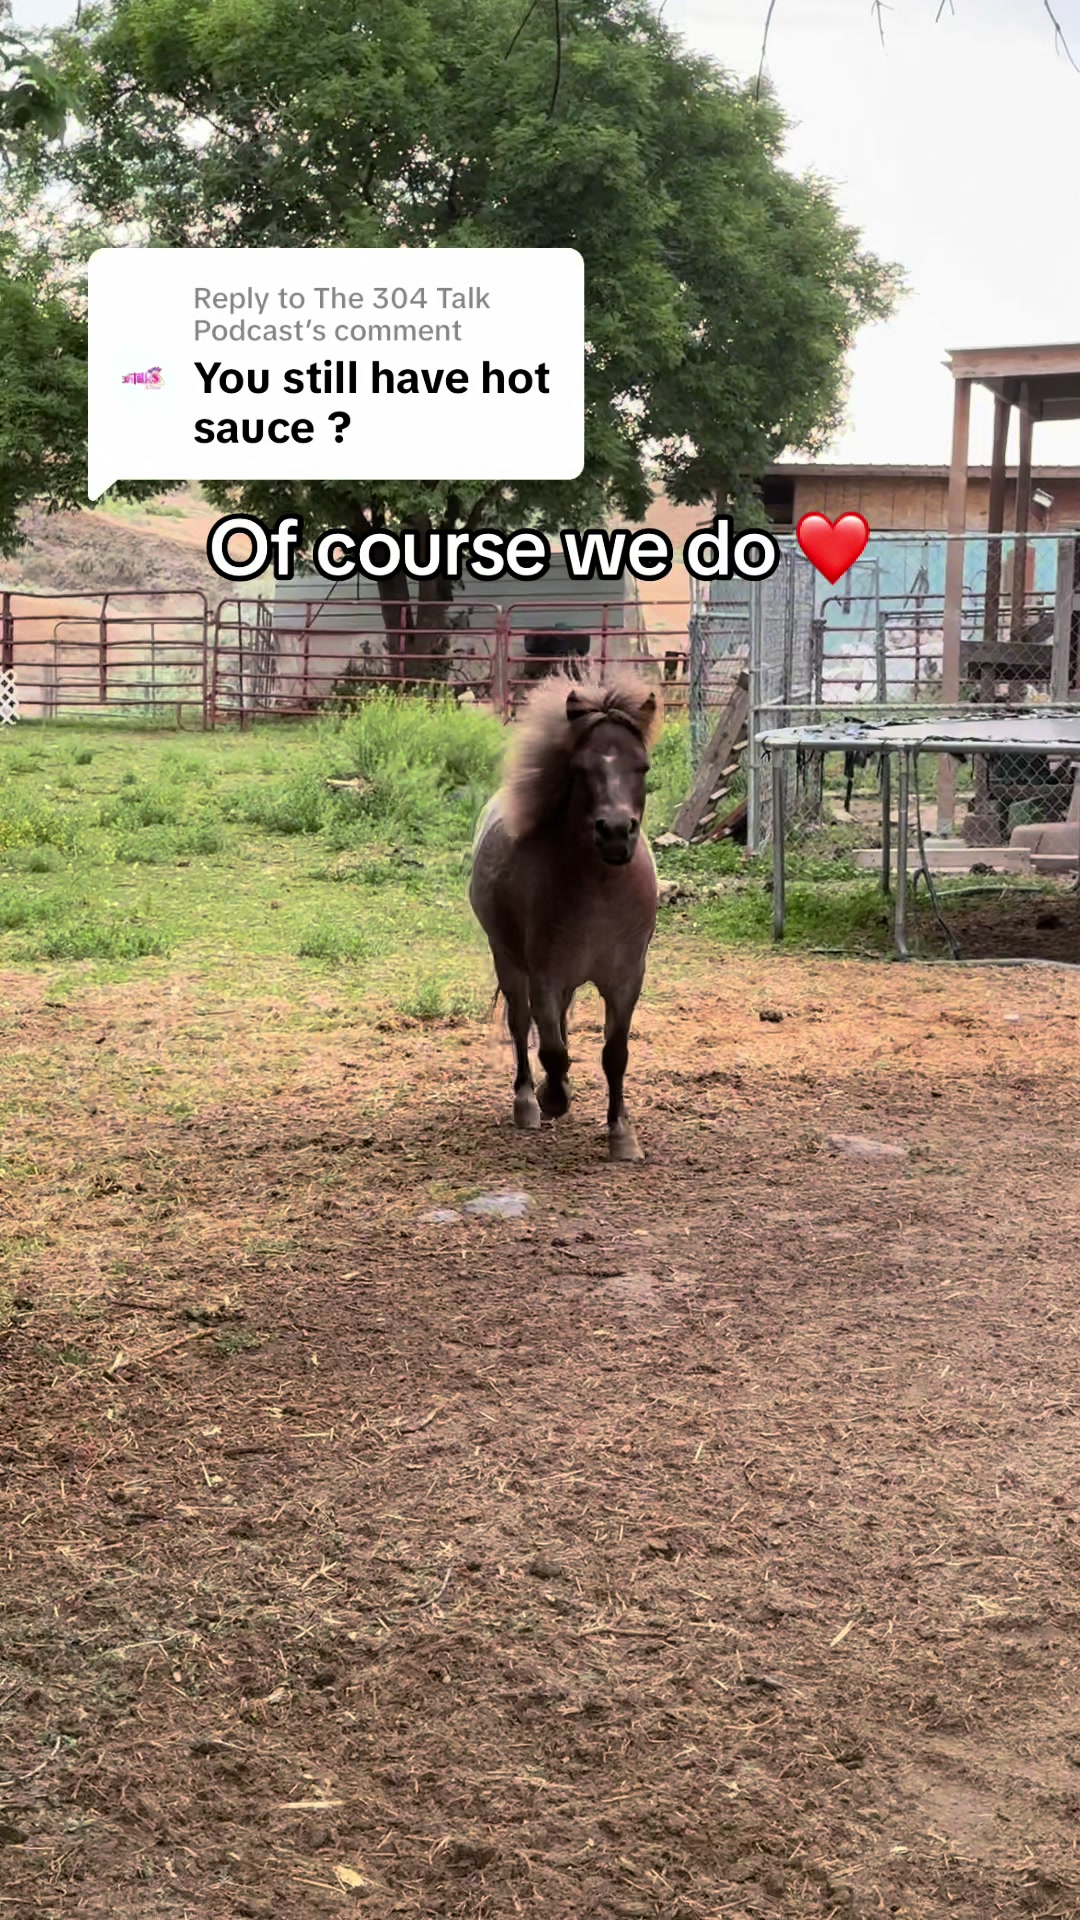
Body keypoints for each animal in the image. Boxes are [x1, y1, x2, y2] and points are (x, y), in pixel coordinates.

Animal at [469, 671, 661, 1162]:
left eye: (642, 767)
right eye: (580, 769)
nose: (616, 833)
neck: (601, 892)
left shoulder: (626, 978)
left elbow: (614, 1054)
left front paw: (622, 1135)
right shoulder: (545, 976)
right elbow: (551, 1049)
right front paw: (552, 1097)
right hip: (509, 962)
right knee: (523, 1028)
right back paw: (527, 1102)